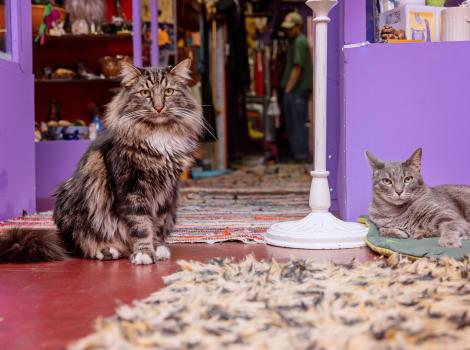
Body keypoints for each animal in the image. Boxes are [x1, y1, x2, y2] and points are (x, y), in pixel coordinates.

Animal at [0, 58, 205, 264]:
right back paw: (107, 250)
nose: (158, 107)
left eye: (168, 92)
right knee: (83, 244)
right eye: (145, 93)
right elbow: (141, 225)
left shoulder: (167, 192)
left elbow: (157, 224)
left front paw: (157, 248)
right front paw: (144, 253)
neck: (158, 134)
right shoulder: (131, 188)